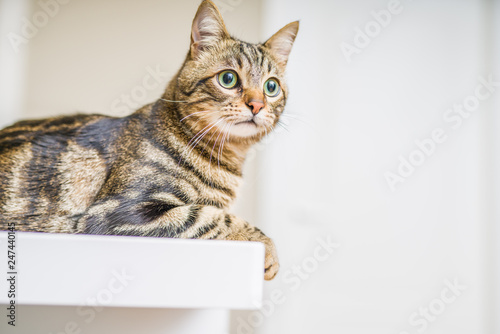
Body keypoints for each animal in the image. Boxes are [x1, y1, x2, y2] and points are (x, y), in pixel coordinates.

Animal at [0, 0, 296, 280]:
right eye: (228, 78)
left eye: (271, 87)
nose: (257, 105)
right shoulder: (119, 212)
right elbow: (211, 216)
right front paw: (268, 248)